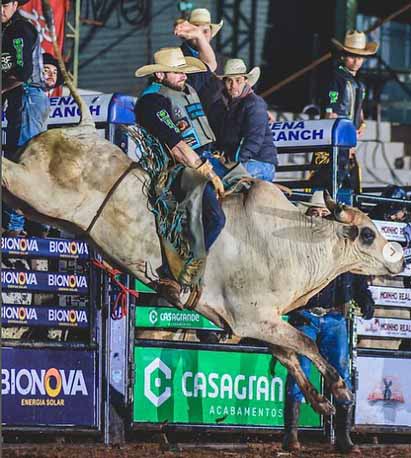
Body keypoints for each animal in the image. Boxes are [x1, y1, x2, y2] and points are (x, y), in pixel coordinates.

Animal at [0, 0, 406, 416]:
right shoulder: (252, 317)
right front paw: (340, 390)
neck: (292, 245)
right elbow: (306, 344)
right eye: (368, 234)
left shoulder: (263, 323)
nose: (399, 258)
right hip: (37, 189)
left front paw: (321, 401)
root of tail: (81, 129)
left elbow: (290, 356)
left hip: (35, 203)